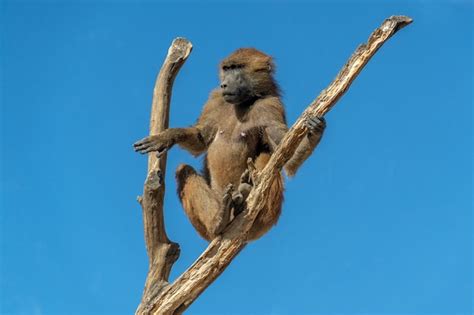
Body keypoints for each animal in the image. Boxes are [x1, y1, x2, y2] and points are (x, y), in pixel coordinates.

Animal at [134, 48, 326, 242]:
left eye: (237, 68)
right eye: (227, 69)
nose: (224, 85)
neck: (245, 101)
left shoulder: (271, 107)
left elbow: (287, 158)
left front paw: (315, 132)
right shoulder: (215, 98)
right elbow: (200, 139)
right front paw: (165, 137)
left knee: (266, 157)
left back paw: (247, 190)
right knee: (183, 171)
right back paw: (219, 219)